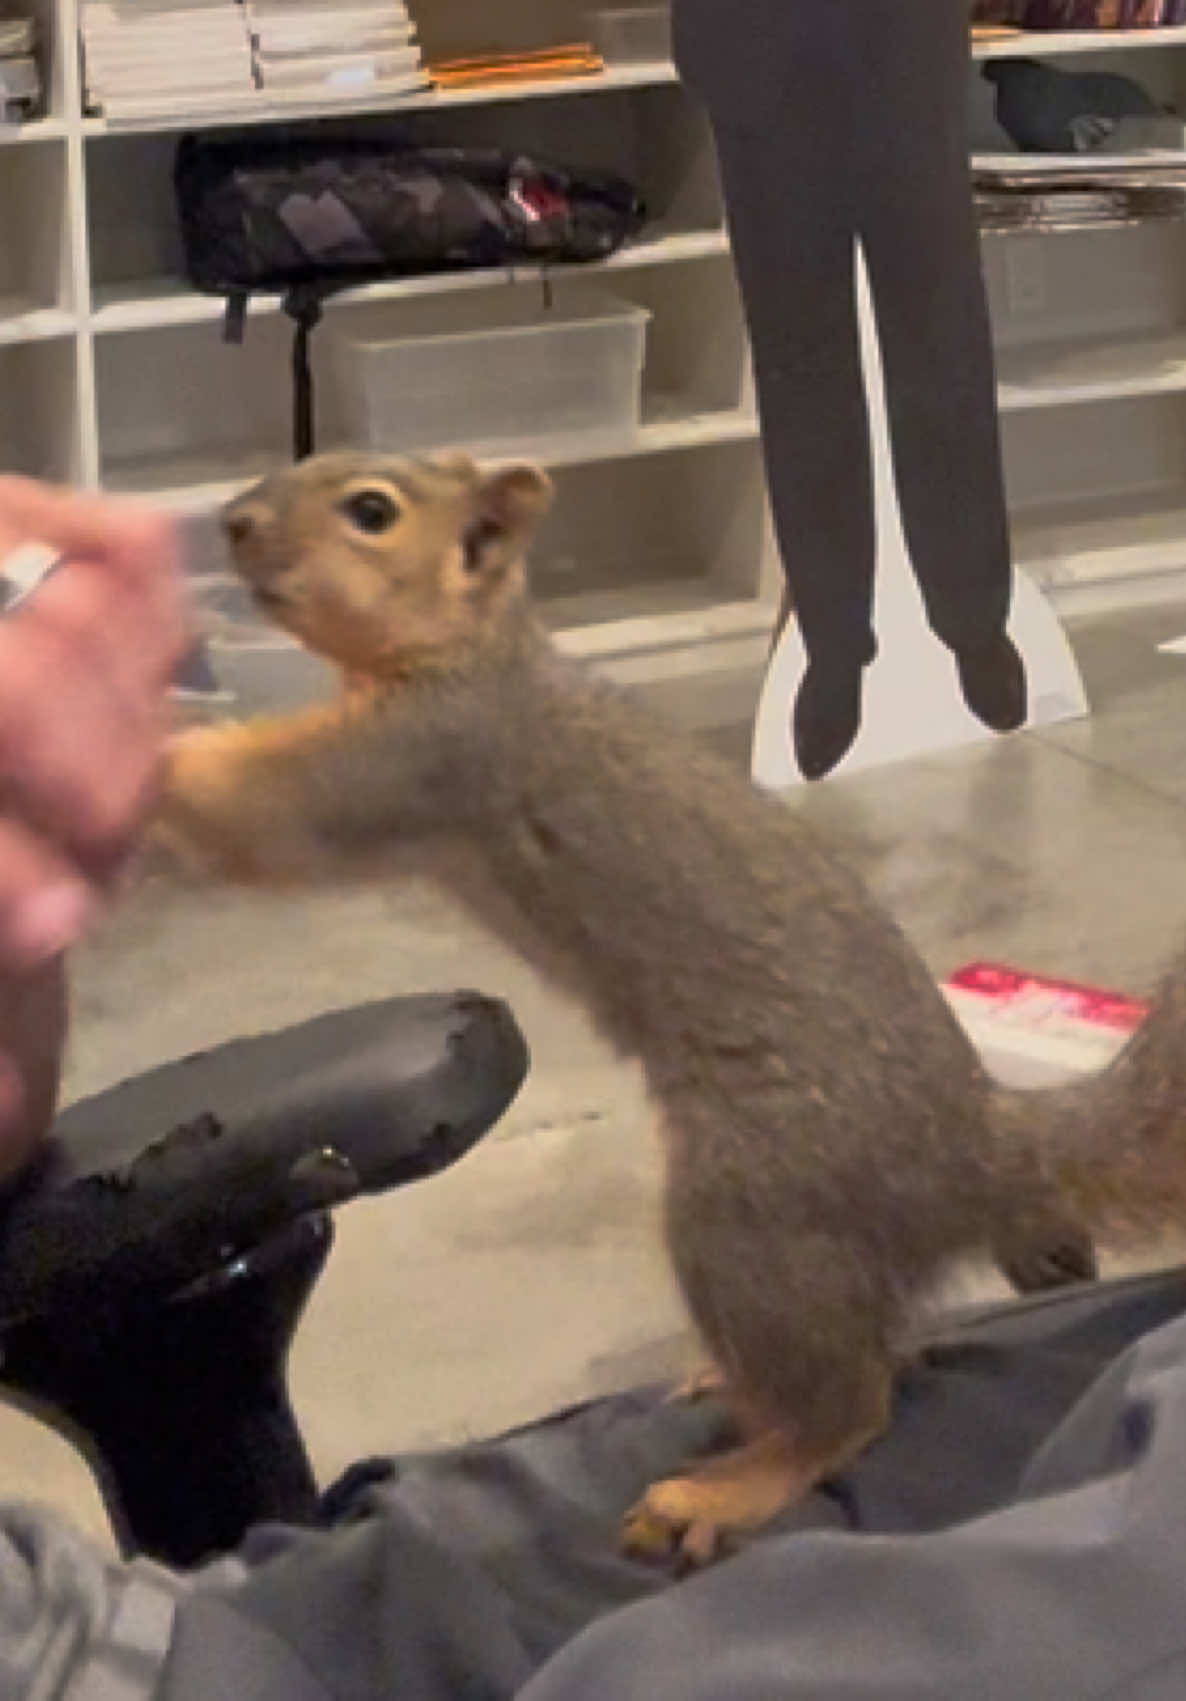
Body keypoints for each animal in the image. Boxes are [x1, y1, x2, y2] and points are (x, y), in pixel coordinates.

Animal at [153, 450, 1167, 1568]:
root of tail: (974, 1150)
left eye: (371, 512)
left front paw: (139, 732)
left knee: (854, 1405)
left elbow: (261, 817)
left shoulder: (420, 753)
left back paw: (728, 1487)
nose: (233, 523)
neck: (476, 649)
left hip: (753, 1209)